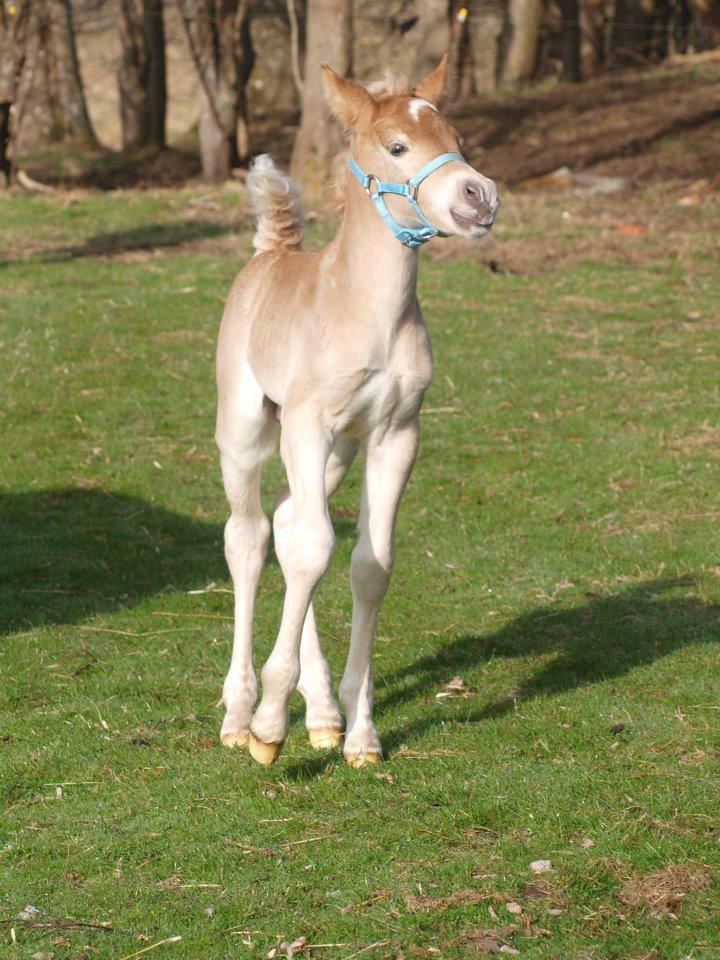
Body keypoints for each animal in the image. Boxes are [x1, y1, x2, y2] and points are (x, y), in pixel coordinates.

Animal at [214, 56, 498, 768]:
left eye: (457, 135)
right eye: (397, 147)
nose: (479, 197)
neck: (370, 313)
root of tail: (270, 252)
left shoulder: (396, 433)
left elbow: (368, 565)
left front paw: (359, 732)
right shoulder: (308, 423)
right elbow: (315, 546)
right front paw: (267, 729)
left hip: (337, 451)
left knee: (290, 520)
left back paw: (319, 714)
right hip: (249, 431)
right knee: (250, 536)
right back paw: (238, 712)